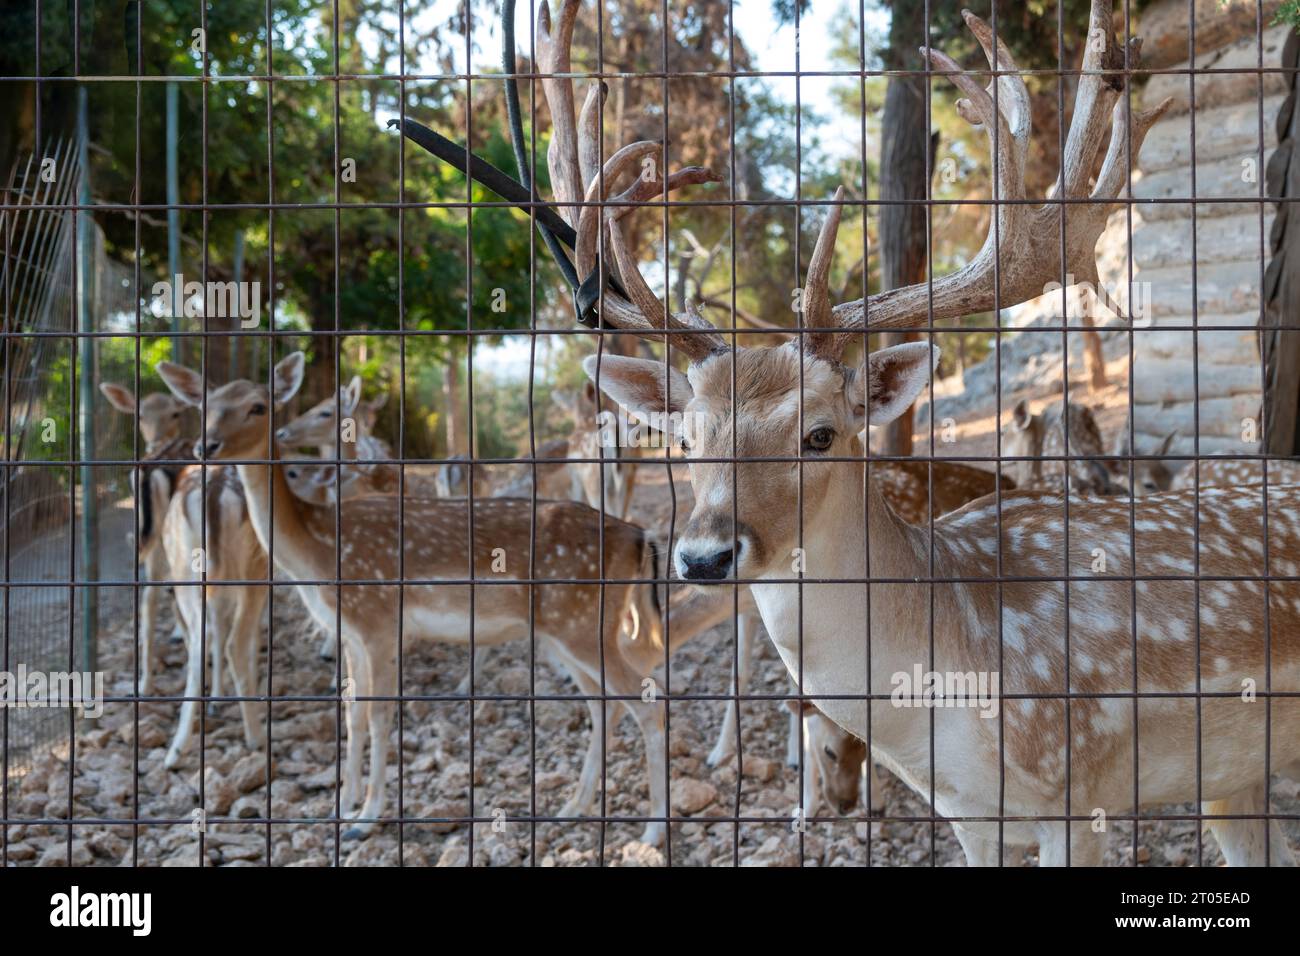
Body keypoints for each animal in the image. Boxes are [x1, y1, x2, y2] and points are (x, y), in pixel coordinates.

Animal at [548, 0, 1300, 868]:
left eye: (820, 434)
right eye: (685, 438)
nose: (704, 557)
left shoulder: (1078, 787)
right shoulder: (970, 814)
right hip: (1234, 778)